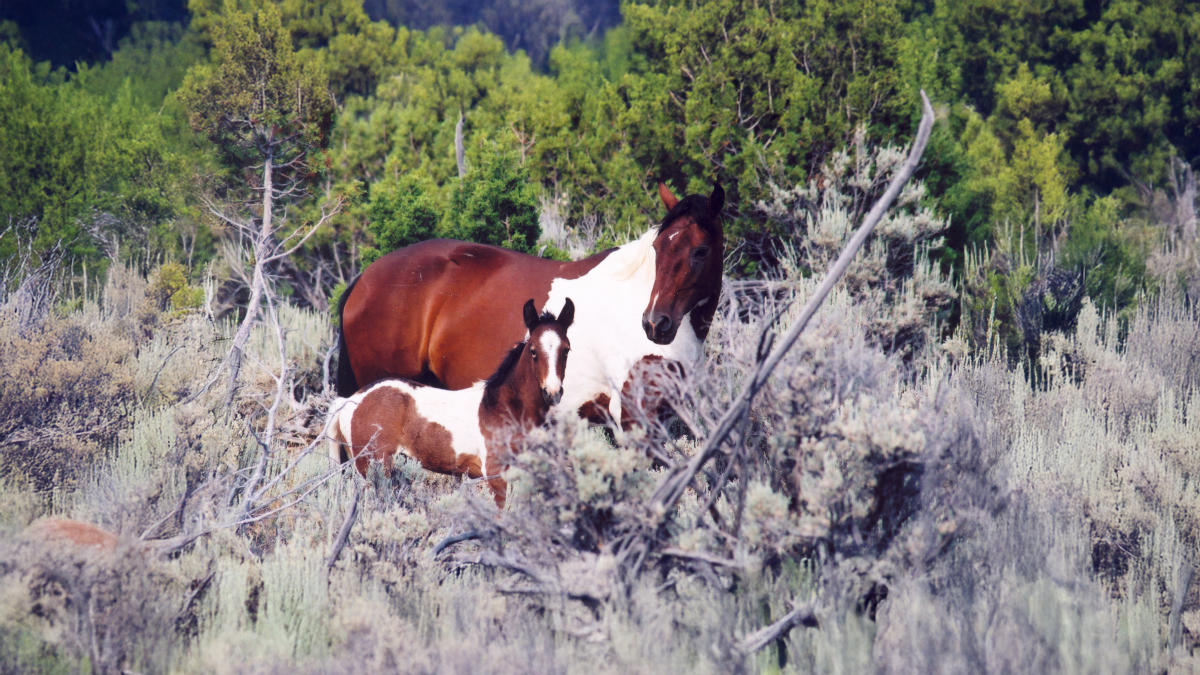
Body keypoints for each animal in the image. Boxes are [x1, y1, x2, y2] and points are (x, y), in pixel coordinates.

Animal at [327, 298, 574, 508]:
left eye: (566, 349)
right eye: (533, 351)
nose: (553, 392)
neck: (502, 407)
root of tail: (352, 399)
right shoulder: (496, 476)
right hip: (371, 469)